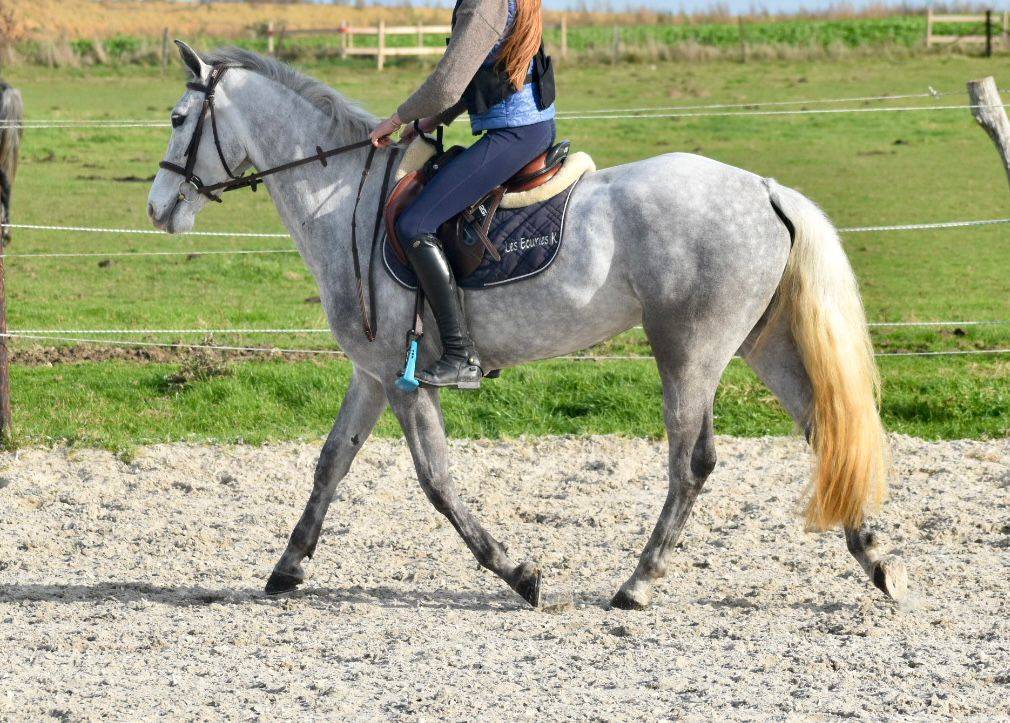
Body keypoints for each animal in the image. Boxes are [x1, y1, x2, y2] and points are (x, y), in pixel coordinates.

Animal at [147, 43, 907, 610]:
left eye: (181, 117)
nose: (158, 208)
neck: (346, 203)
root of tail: (763, 188)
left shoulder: (403, 377)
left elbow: (436, 480)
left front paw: (518, 573)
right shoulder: (372, 372)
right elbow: (331, 462)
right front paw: (287, 566)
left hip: (689, 351)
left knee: (691, 463)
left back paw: (637, 584)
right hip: (759, 344)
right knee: (822, 428)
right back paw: (875, 557)